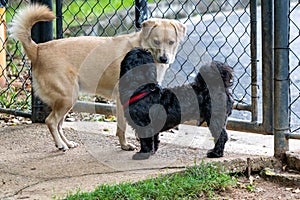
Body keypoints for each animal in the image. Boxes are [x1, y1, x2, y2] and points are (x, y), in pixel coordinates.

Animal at [11, 3, 185, 151]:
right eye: (156, 41)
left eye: (171, 42)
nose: (164, 59)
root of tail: (38, 49)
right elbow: (122, 126)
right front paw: (125, 146)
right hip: (68, 97)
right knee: (51, 121)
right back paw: (61, 144)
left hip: (67, 100)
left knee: (59, 124)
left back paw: (67, 143)